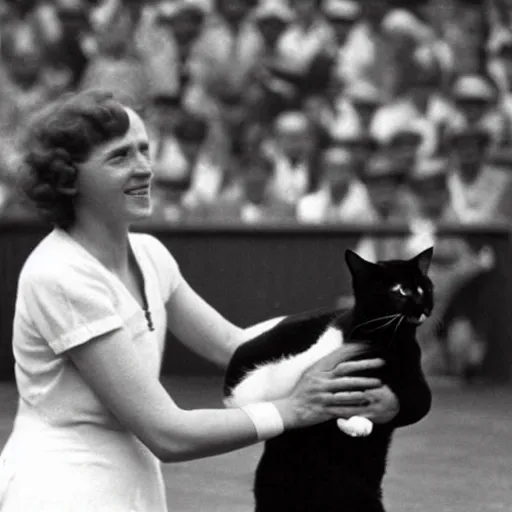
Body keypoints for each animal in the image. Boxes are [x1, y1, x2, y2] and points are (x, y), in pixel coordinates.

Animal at [223, 248, 432, 512]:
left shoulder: (411, 377)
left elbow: (409, 398)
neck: (383, 339)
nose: (423, 306)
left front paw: (356, 421)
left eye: (424, 288)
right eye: (401, 290)